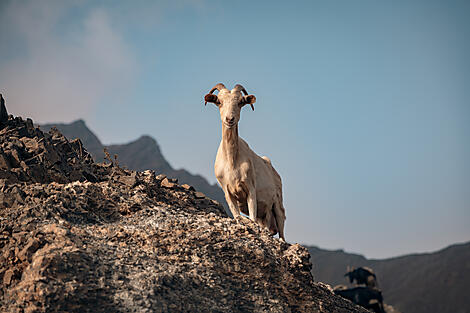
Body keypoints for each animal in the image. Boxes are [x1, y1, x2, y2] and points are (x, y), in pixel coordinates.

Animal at [203, 83, 284, 239]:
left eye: (240, 102)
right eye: (219, 102)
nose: (230, 119)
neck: (232, 162)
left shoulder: (250, 189)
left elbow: (251, 216)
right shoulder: (228, 192)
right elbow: (237, 215)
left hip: (278, 206)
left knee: (282, 231)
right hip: (264, 215)